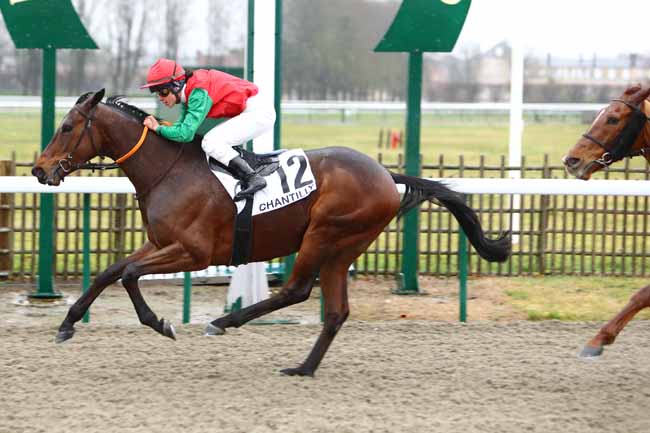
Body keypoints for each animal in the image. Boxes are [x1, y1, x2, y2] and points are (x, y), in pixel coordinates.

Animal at [32, 89, 511, 376]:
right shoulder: (159, 242)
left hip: (325, 234)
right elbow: (110, 272)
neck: (169, 170)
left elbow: (129, 275)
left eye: (67, 127)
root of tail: (386, 175)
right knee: (335, 311)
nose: (39, 169)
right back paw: (303, 367)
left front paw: (160, 323)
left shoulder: (193, 251)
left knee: (297, 290)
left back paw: (224, 321)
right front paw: (67, 325)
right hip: (342, 248)